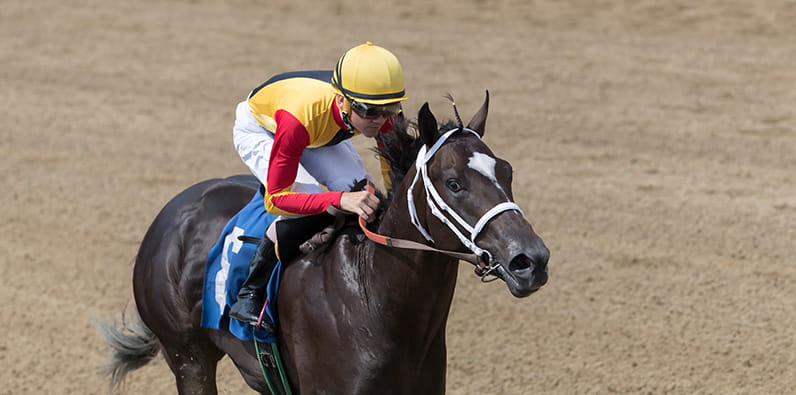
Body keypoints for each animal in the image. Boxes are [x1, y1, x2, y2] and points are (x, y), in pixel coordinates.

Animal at [98, 94, 548, 394]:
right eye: (454, 183)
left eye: (507, 171)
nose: (531, 260)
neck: (374, 298)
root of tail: (173, 211)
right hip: (189, 358)